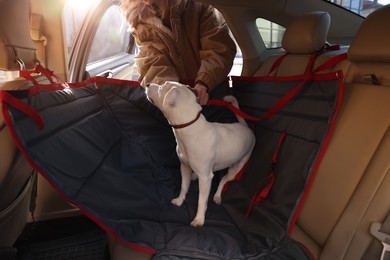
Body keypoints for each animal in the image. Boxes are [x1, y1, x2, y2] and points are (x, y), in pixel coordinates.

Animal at [145, 81, 254, 228]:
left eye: (162, 87)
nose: (147, 84)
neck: (190, 128)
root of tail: (246, 128)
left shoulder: (206, 178)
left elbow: (202, 200)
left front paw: (199, 219)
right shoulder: (184, 167)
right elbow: (184, 187)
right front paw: (180, 200)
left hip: (236, 168)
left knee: (224, 180)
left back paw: (217, 195)